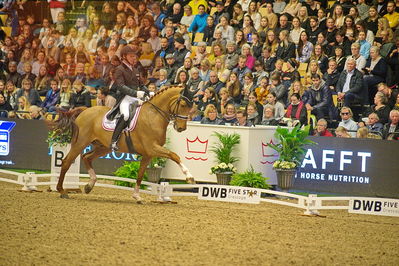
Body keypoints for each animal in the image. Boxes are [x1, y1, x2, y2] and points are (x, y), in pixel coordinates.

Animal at [50, 86, 196, 203]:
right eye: (183, 105)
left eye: (191, 107)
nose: (181, 128)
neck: (153, 115)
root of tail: (85, 110)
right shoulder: (152, 148)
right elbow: (174, 155)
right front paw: (189, 177)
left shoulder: (148, 154)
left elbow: (140, 175)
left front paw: (137, 196)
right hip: (80, 143)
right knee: (66, 162)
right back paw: (62, 190)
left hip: (103, 147)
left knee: (87, 157)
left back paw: (89, 185)